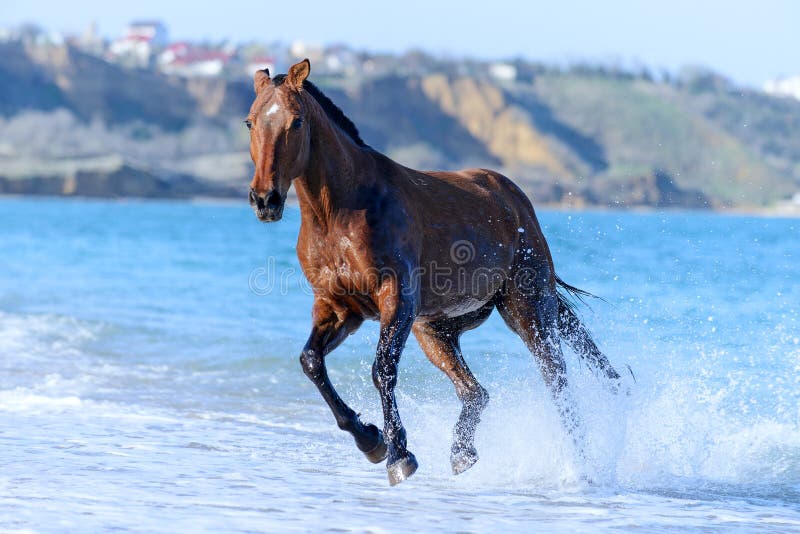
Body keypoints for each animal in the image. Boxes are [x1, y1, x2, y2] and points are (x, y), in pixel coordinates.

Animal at [247, 60, 620, 488]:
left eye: (296, 122)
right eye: (250, 121)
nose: (265, 199)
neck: (341, 214)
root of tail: (515, 199)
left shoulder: (396, 300)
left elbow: (382, 371)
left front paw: (397, 455)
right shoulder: (339, 308)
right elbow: (311, 362)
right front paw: (370, 440)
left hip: (528, 314)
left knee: (558, 386)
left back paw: (584, 468)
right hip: (435, 331)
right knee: (475, 392)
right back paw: (461, 453)